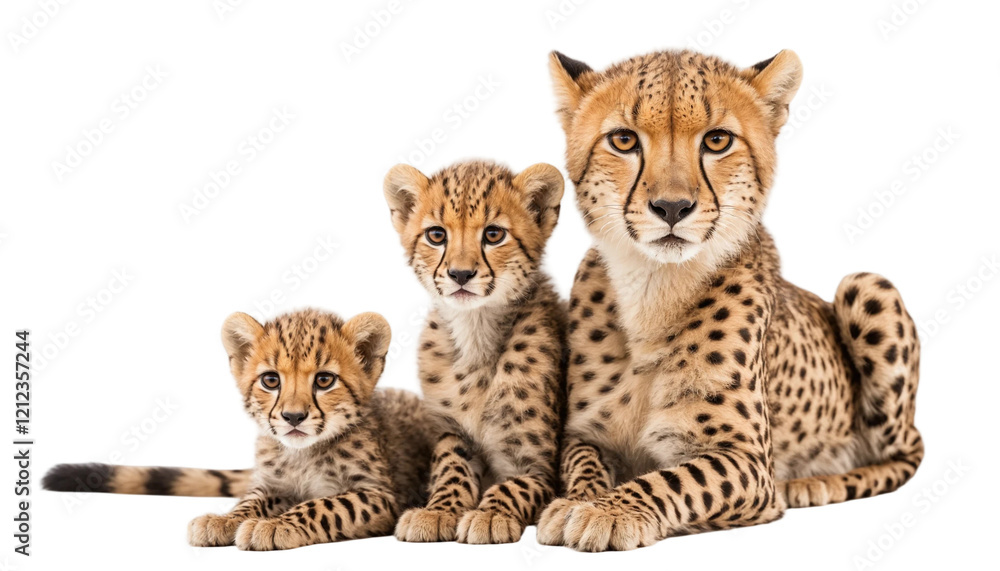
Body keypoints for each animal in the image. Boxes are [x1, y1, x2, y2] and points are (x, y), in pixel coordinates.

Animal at [43, 308, 435, 550]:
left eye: (324, 380)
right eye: (270, 380)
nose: (293, 417)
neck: (303, 454)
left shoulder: (379, 494)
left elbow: (326, 505)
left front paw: (275, 526)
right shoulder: (273, 485)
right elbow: (250, 501)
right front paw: (225, 520)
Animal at [383, 160, 568, 544]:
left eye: (494, 234)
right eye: (436, 235)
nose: (461, 274)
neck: (476, 333)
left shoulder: (540, 467)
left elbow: (514, 486)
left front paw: (490, 514)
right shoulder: (452, 433)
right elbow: (450, 467)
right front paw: (438, 510)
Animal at [535, 49, 923, 551]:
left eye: (717, 140)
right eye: (623, 140)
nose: (672, 207)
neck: (655, 289)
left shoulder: (750, 463)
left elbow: (672, 480)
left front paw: (607, 510)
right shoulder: (583, 436)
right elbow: (582, 465)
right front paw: (577, 501)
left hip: (868, 285)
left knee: (905, 452)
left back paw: (816, 482)